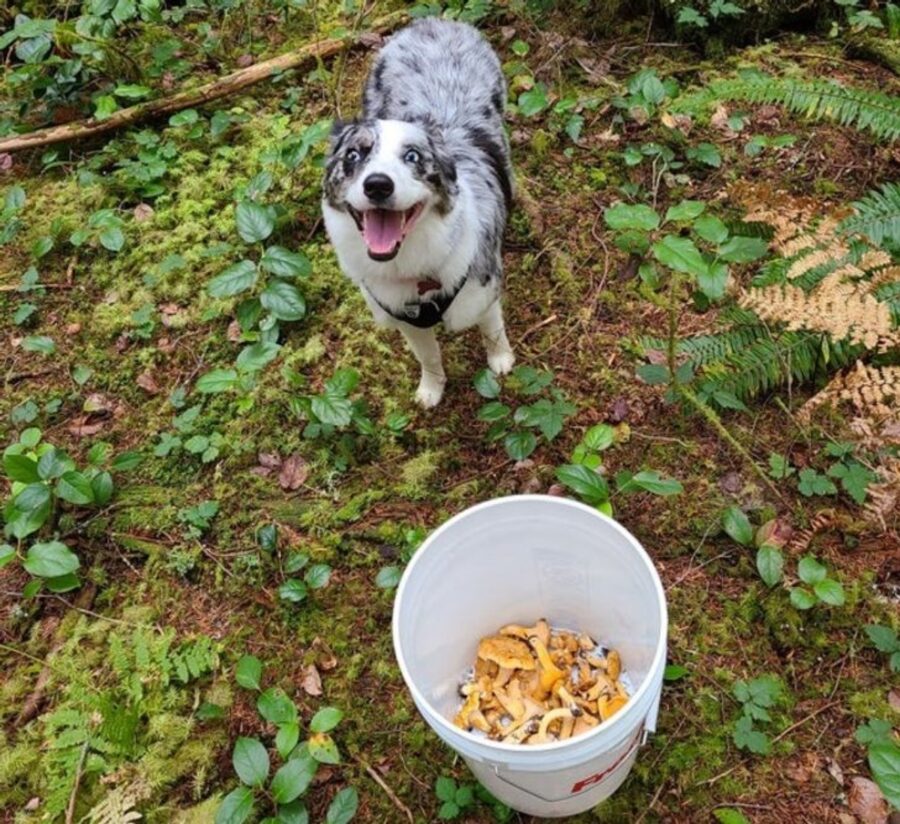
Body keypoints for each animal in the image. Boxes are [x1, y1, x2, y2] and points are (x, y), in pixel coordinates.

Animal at [324, 16, 516, 408]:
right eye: (353, 155)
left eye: (412, 156)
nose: (377, 185)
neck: (411, 266)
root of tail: (434, 22)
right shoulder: (404, 319)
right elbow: (428, 357)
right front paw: (431, 389)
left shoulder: (484, 291)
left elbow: (493, 331)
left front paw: (501, 361)